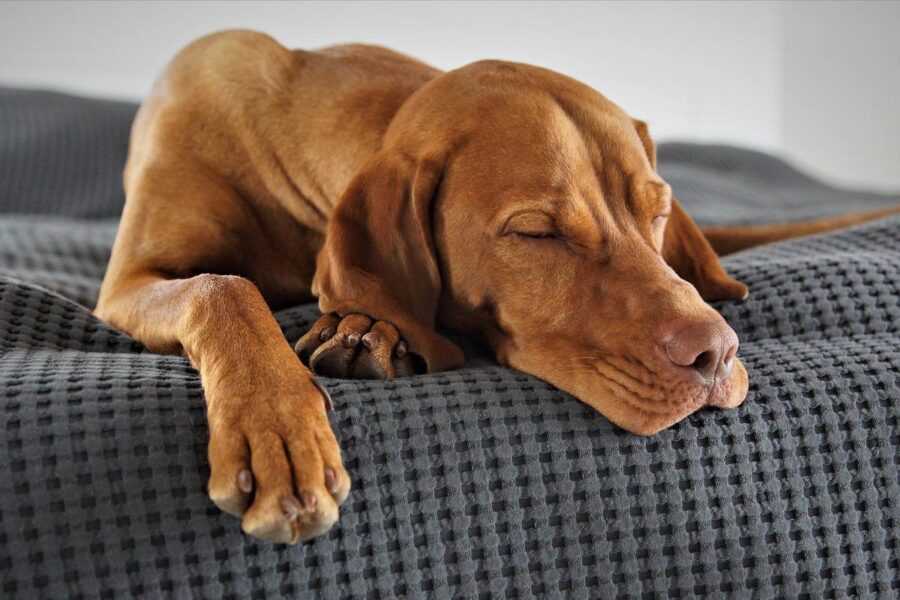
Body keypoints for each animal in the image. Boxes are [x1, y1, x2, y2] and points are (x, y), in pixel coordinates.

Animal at [93, 29, 900, 544]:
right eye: (537, 232)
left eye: (658, 209)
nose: (717, 355)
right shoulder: (128, 282)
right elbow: (222, 285)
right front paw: (278, 430)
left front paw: (365, 328)